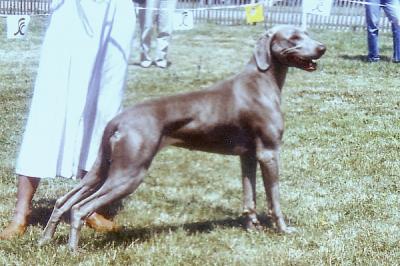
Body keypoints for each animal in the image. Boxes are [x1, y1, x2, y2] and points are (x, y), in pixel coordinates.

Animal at [38, 24, 324, 249]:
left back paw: (45, 240)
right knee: (79, 209)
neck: (262, 80)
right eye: (294, 38)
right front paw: (283, 229)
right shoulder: (269, 153)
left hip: (102, 169)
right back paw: (73, 250)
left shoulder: (249, 156)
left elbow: (249, 197)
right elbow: (274, 199)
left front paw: (252, 228)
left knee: (64, 201)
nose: (322, 48)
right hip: (128, 174)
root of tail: (117, 119)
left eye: (308, 34)